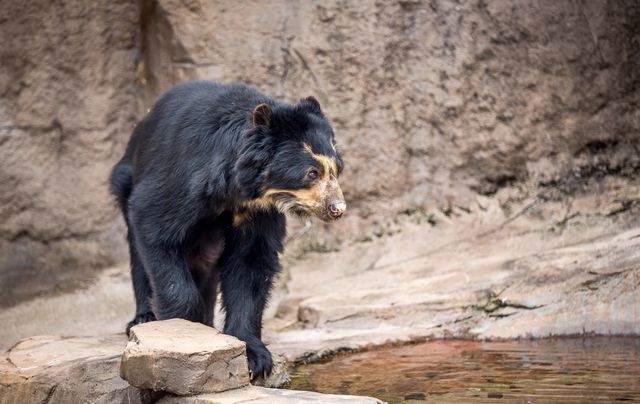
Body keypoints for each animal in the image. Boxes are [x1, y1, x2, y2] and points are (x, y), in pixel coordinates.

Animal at [112, 82, 348, 378]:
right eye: (311, 173)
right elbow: (154, 224)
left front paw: (254, 357)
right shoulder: (183, 178)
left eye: (337, 169)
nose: (338, 208)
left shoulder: (258, 213)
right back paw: (144, 318)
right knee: (139, 251)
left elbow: (250, 266)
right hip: (126, 179)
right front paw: (185, 333)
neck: (237, 190)